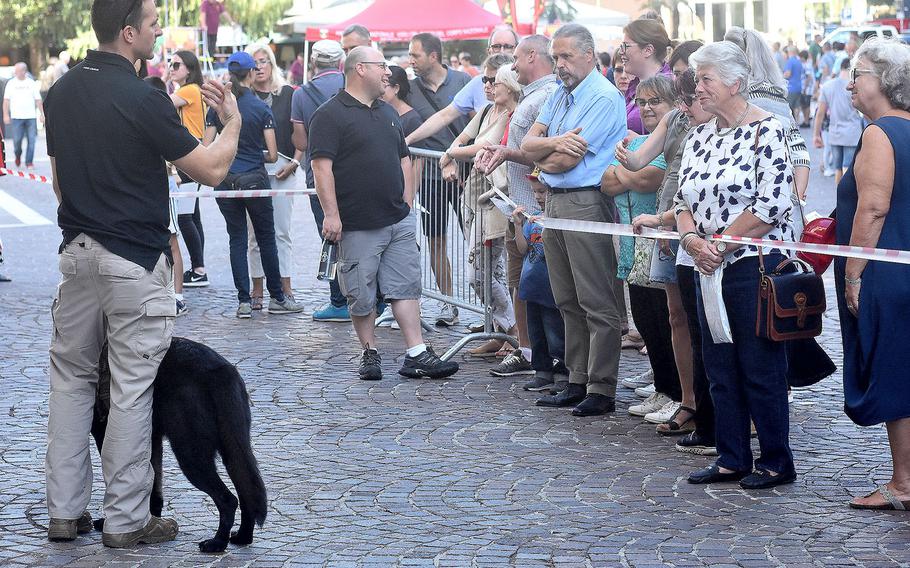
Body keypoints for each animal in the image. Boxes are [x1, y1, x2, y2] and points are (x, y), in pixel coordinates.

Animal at [91, 338, 268, 552]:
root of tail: (220, 371)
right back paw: (243, 536)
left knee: (228, 500)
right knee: (247, 489)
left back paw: (217, 542)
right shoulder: (152, 440)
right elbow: (153, 485)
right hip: (233, 448)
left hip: (190, 453)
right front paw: (150, 521)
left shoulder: (106, 436)